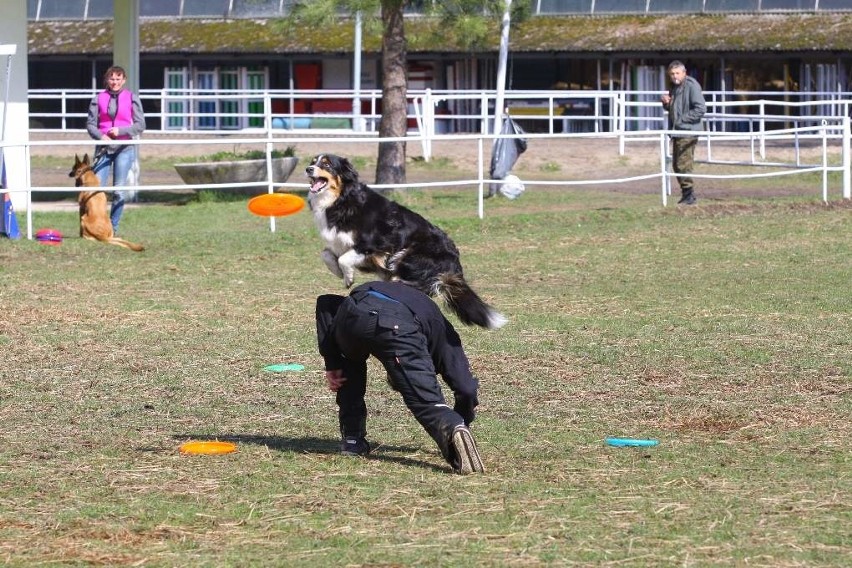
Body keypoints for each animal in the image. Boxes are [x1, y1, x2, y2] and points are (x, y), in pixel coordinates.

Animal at [306, 155, 506, 330]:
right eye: (313, 161)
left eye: (327, 164)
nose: (308, 169)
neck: (342, 199)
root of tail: (455, 265)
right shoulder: (340, 243)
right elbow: (326, 254)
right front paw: (338, 272)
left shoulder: (375, 243)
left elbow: (344, 258)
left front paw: (347, 276)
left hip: (406, 255)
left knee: (424, 287)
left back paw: (398, 282)